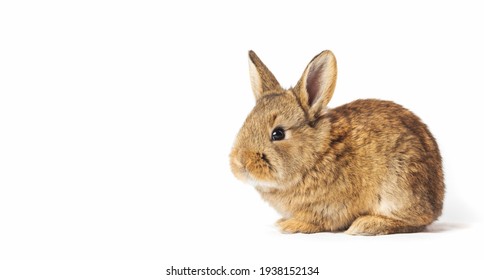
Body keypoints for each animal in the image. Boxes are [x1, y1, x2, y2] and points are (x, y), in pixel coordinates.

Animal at [229, 49, 444, 234]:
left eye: (278, 134)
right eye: (246, 122)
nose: (241, 162)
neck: (317, 153)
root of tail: (437, 200)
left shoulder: (328, 207)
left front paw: (291, 225)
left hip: (399, 187)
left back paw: (366, 225)